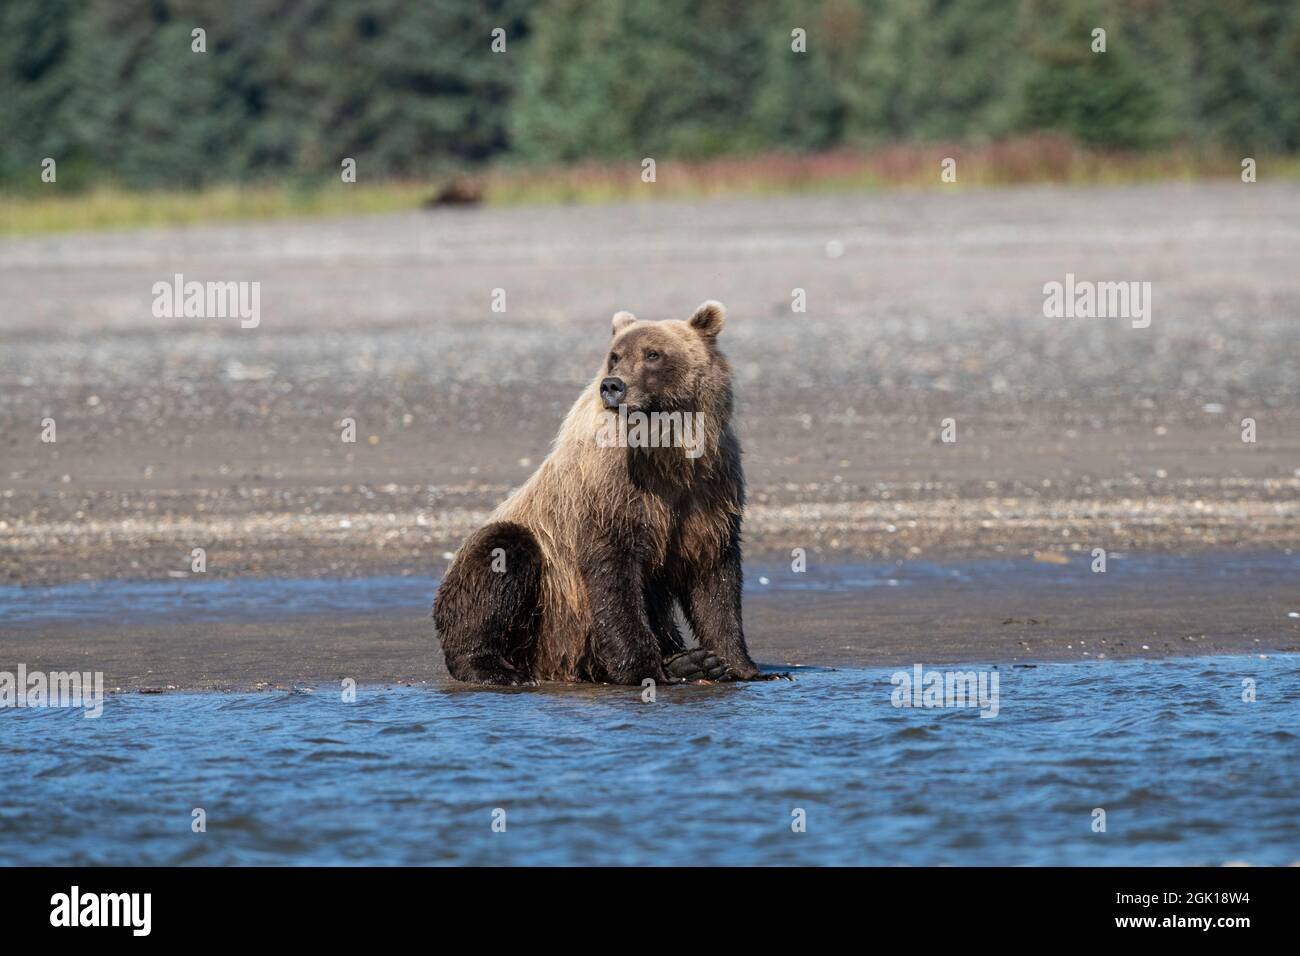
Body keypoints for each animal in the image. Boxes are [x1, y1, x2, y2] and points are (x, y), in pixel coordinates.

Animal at [431, 303, 774, 686]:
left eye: (653, 354)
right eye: (615, 356)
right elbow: (613, 576)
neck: (668, 454)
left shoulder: (710, 487)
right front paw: (646, 669)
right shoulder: (609, 490)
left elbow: (714, 576)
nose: (613, 386)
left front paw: (742, 666)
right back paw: (493, 668)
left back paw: (690, 662)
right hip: (541, 613)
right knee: (498, 554)